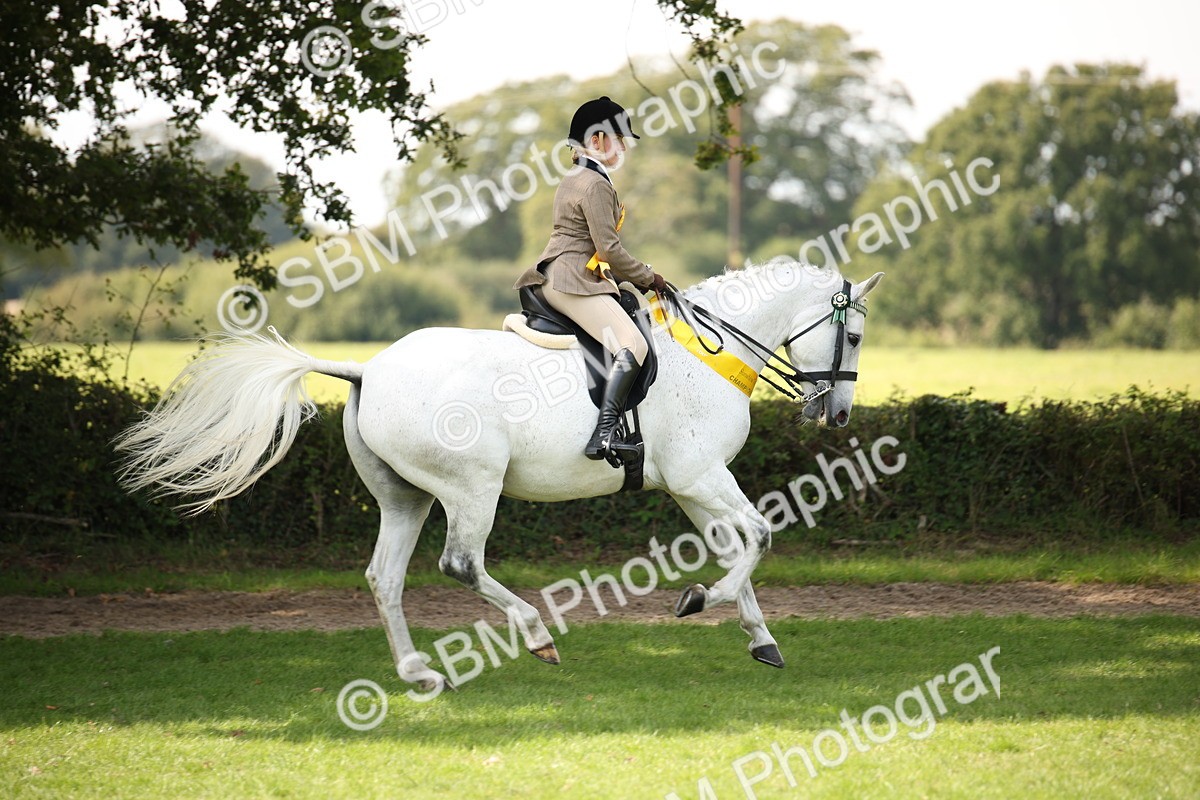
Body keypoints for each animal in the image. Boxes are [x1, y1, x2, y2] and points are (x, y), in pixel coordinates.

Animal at [116, 258, 882, 695]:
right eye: (855, 335)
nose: (837, 411)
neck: (707, 351)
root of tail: (369, 369)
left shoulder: (693, 484)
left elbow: (738, 548)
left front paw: (760, 639)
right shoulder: (700, 477)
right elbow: (758, 539)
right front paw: (697, 601)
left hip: (405, 497)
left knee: (385, 578)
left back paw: (420, 674)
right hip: (470, 489)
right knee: (460, 563)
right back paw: (536, 634)